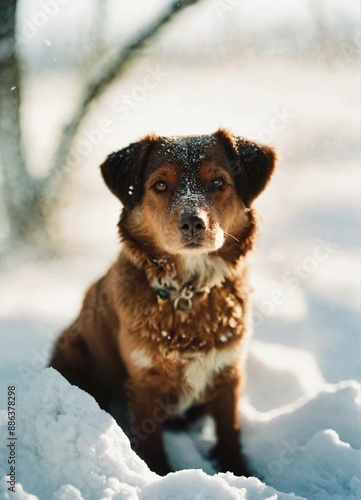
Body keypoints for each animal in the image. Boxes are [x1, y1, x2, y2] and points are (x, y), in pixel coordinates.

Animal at [49, 129, 276, 476]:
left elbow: (229, 431)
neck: (186, 291)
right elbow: (152, 442)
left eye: (218, 182)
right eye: (159, 185)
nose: (192, 222)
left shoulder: (229, 373)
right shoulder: (144, 381)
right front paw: (159, 474)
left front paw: (237, 471)